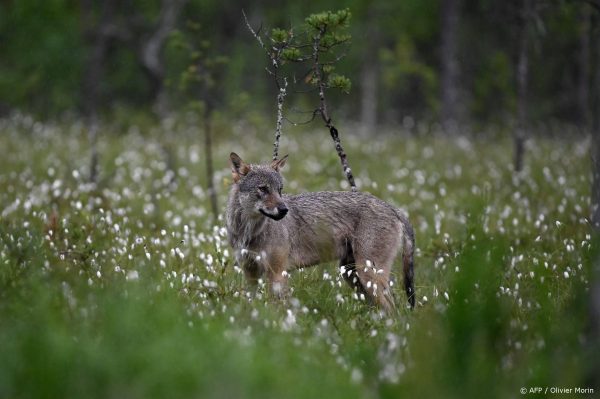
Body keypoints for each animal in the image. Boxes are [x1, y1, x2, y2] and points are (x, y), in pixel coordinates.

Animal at [226, 153, 418, 312]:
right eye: (263, 189)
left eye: (280, 190)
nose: (284, 210)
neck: (249, 231)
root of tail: (394, 208)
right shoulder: (250, 274)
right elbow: (248, 306)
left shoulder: (277, 274)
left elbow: (277, 310)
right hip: (353, 276)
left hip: (368, 276)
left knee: (394, 310)